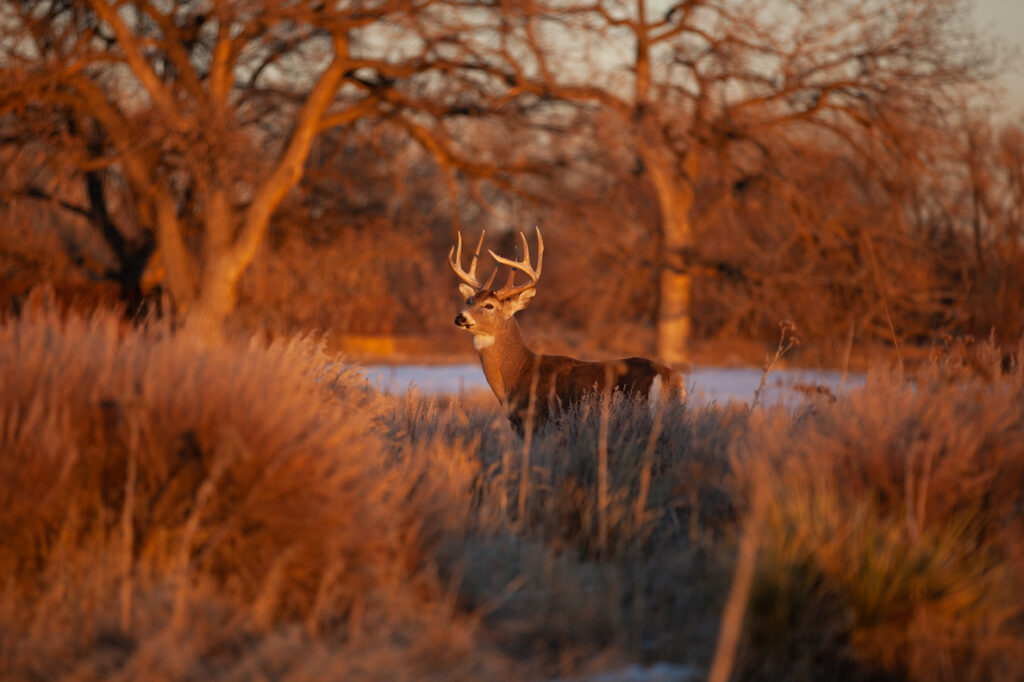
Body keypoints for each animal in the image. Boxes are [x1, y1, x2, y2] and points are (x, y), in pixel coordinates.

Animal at [449, 227, 685, 436]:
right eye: (469, 301)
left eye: (489, 305)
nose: (460, 317)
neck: (518, 373)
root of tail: (669, 376)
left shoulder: (538, 423)